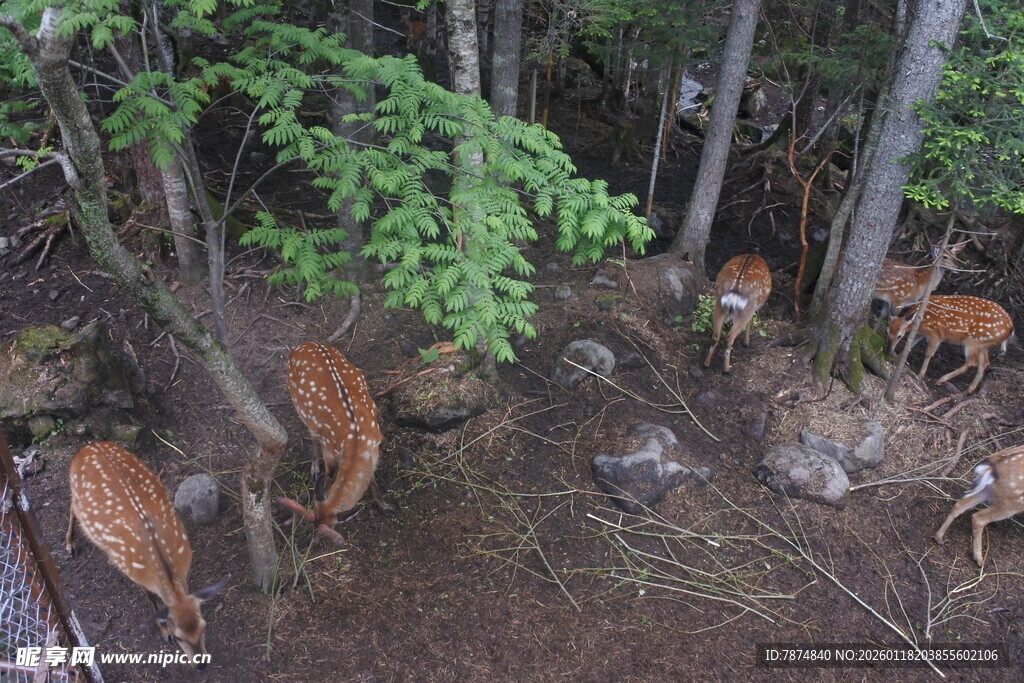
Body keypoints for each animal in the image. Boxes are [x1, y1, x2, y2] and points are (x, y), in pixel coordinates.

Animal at [65, 442, 227, 668]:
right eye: (179, 637)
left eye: (203, 627)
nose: (201, 665)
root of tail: (87, 447)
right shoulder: (132, 570)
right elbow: (151, 598)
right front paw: (165, 633)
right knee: (72, 506)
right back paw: (70, 544)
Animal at [278, 342, 392, 545]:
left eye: (326, 530)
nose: (310, 543)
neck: (356, 443)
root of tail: (302, 345)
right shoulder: (330, 448)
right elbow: (329, 475)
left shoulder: (375, 450)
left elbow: (371, 478)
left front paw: (384, 506)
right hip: (300, 407)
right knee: (313, 436)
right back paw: (314, 468)